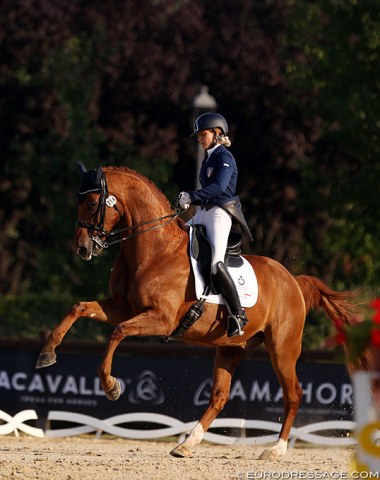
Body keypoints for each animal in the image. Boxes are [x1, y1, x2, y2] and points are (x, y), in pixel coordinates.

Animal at [37, 165, 358, 458]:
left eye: (92, 203)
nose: (81, 248)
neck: (154, 249)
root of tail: (293, 280)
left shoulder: (161, 320)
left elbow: (118, 332)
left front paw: (111, 386)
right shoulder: (122, 307)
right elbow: (79, 307)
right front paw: (47, 353)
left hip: (282, 349)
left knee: (293, 395)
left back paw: (275, 449)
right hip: (231, 348)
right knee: (219, 396)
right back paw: (187, 444)